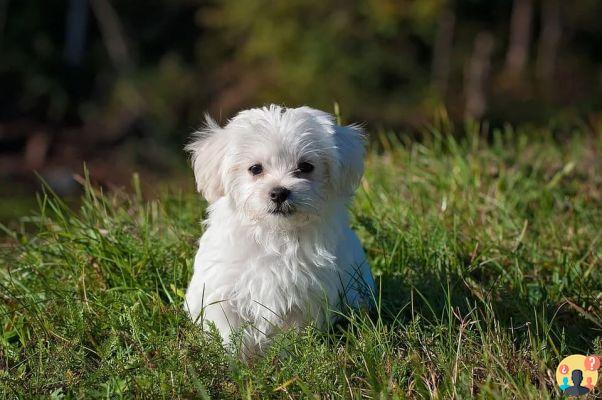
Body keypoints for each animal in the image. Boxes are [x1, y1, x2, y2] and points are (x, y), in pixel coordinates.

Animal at [184, 104, 370, 354]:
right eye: (255, 169)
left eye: (305, 167)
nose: (279, 192)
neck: (275, 235)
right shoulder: (223, 291)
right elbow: (229, 332)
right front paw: (234, 360)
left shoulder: (305, 297)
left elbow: (291, 334)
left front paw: (286, 357)